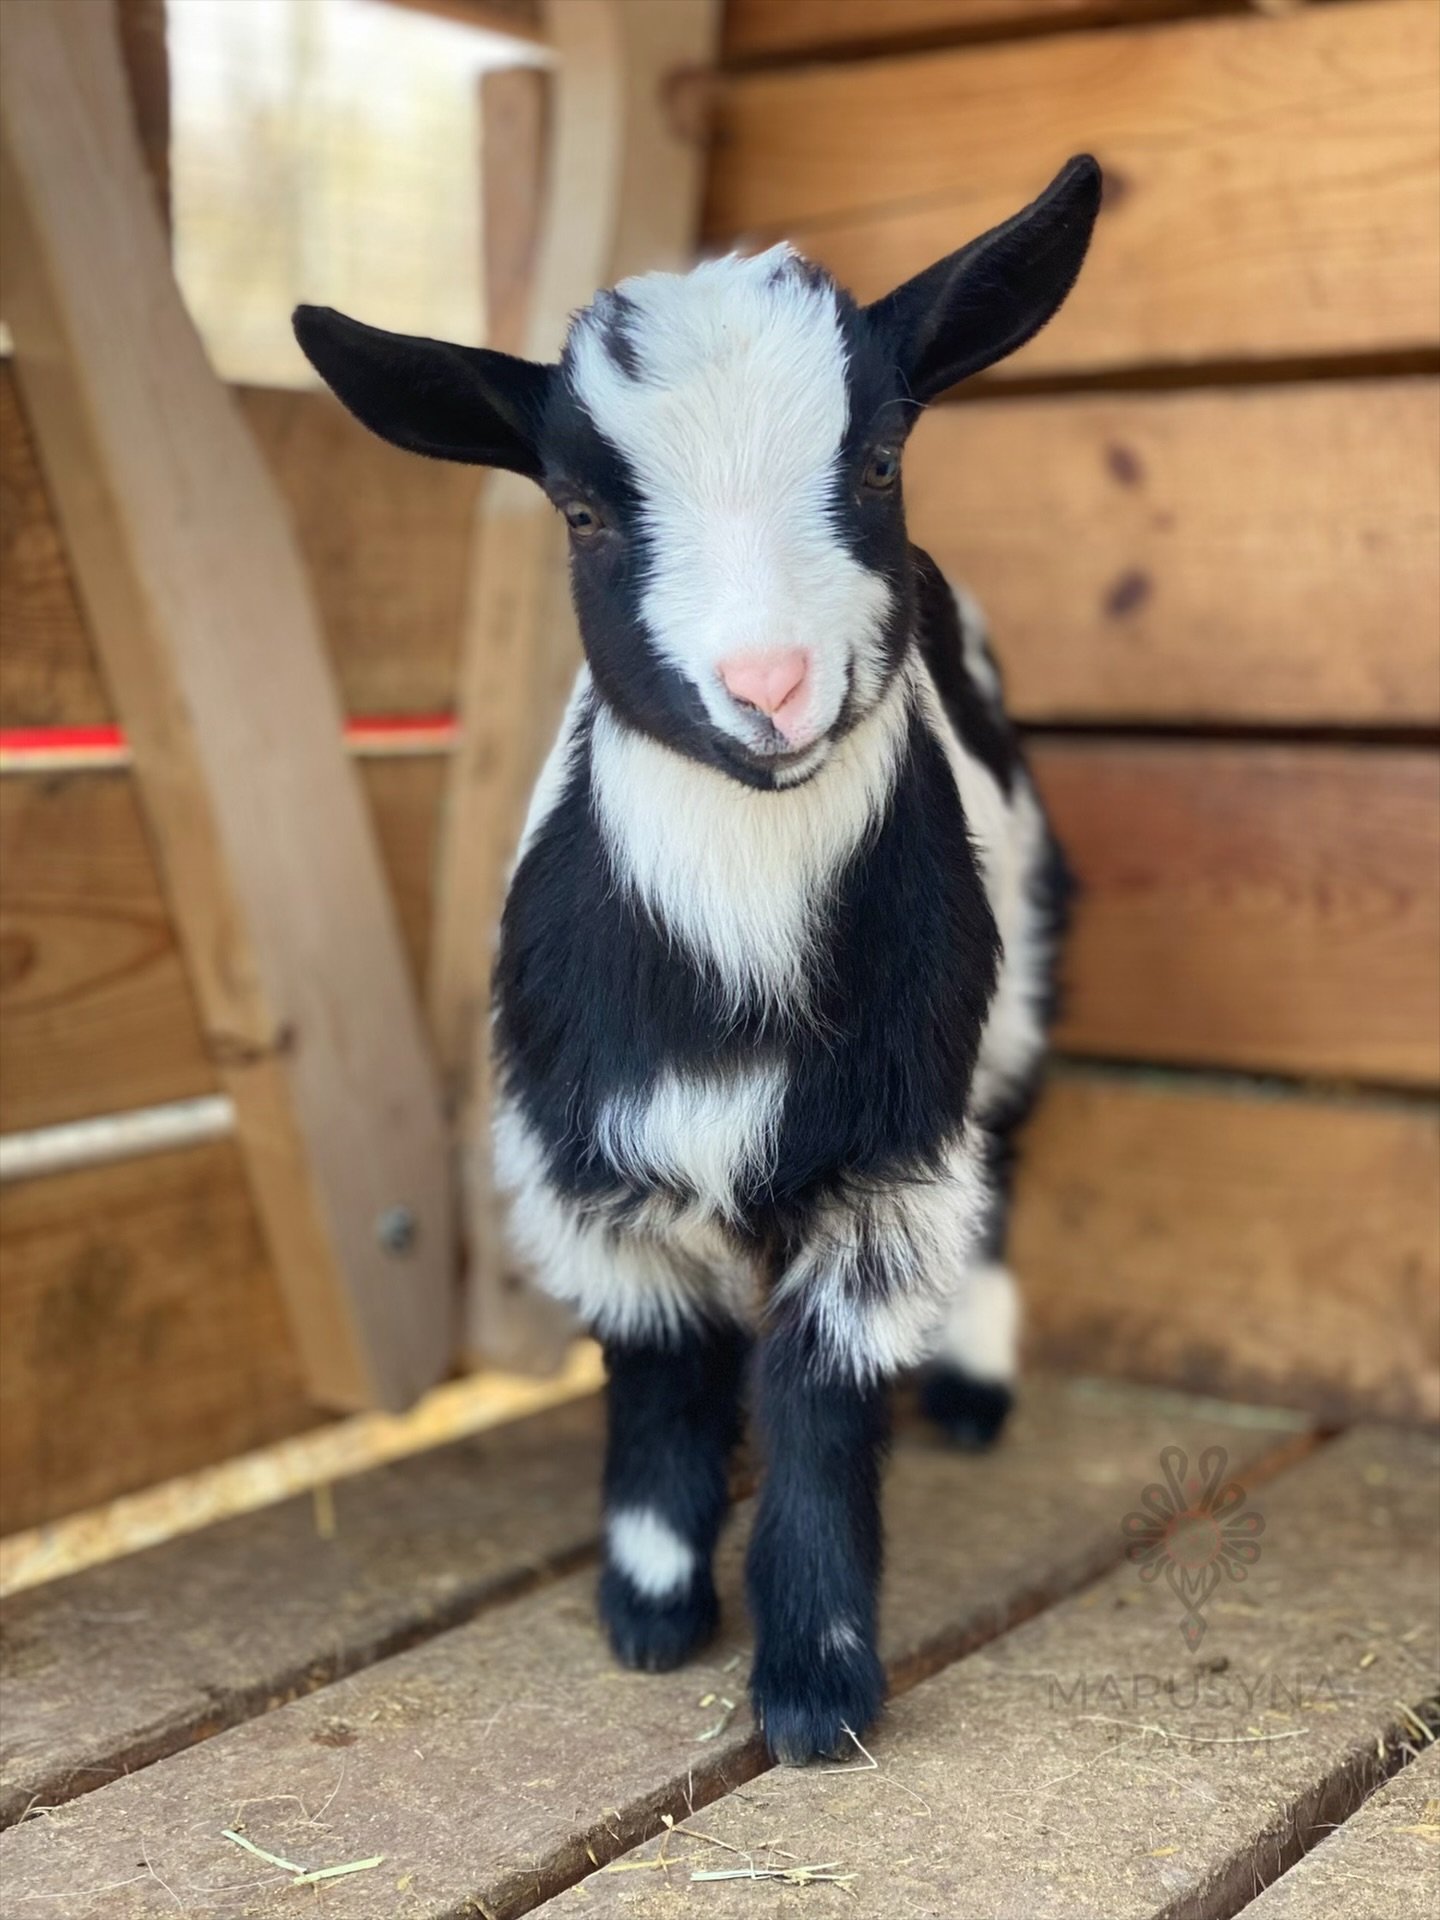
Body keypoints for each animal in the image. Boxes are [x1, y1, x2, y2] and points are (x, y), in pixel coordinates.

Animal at [295, 153, 1101, 1764]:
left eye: (877, 459)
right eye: (583, 510)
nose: (770, 686)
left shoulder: (886, 1157)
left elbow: (823, 1398)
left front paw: (815, 1686)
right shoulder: (584, 1153)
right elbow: (664, 1377)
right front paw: (655, 1609)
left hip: (1019, 999)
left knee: (1009, 1161)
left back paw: (975, 1392)